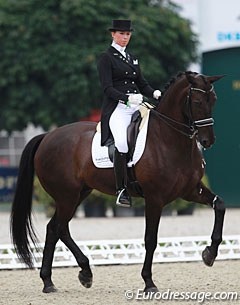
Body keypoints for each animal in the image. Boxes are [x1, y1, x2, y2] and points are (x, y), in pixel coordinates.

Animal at [10, 70, 225, 292]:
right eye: (197, 102)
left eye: (214, 100)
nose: (208, 141)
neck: (169, 139)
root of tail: (46, 136)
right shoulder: (154, 198)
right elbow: (151, 239)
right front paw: (148, 282)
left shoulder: (190, 191)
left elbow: (220, 205)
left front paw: (209, 253)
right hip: (66, 196)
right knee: (59, 228)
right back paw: (76, 274)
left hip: (78, 194)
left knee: (55, 228)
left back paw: (55, 280)